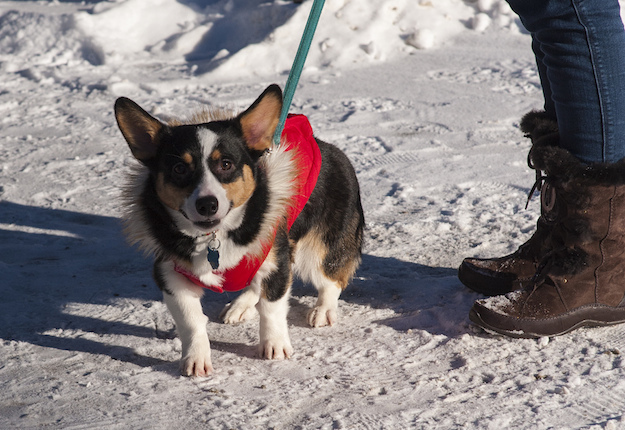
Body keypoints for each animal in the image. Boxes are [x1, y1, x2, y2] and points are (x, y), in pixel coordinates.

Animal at [114, 85, 364, 376]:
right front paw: (196, 359)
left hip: (318, 250)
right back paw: (241, 305)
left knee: (330, 278)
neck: (215, 239)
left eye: (226, 164)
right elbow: (190, 321)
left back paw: (323, 310)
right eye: (179, 168)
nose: (207, 204)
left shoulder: (276, 259)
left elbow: (272, 309)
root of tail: (327, 147)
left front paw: (275, 346)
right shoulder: (170, 273)